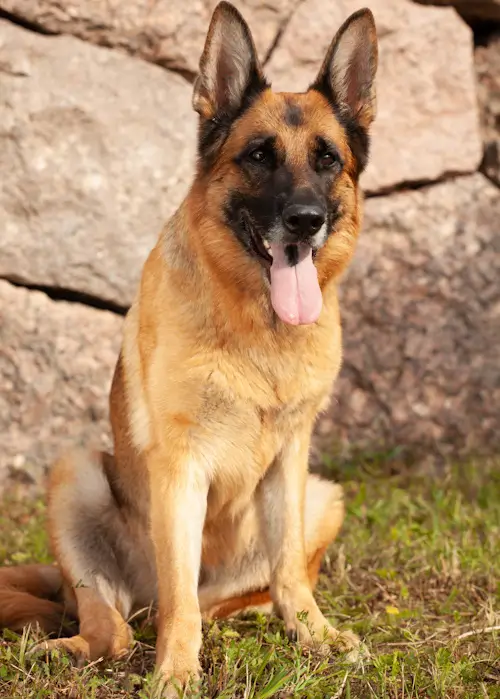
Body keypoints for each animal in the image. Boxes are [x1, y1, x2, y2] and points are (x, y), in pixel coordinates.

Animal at [0, 4, 376, 696]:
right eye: (259, 156)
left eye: (327, 160)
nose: (306, 219)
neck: (258, 327)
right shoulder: (181, 466)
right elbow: (180, 601)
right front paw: (176, 673)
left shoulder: (292, 455)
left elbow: (289, 570)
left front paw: (316, 637)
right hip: (76, 473)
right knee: (121, 624)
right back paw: (77, 645)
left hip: (324, 494)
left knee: (245, 595)